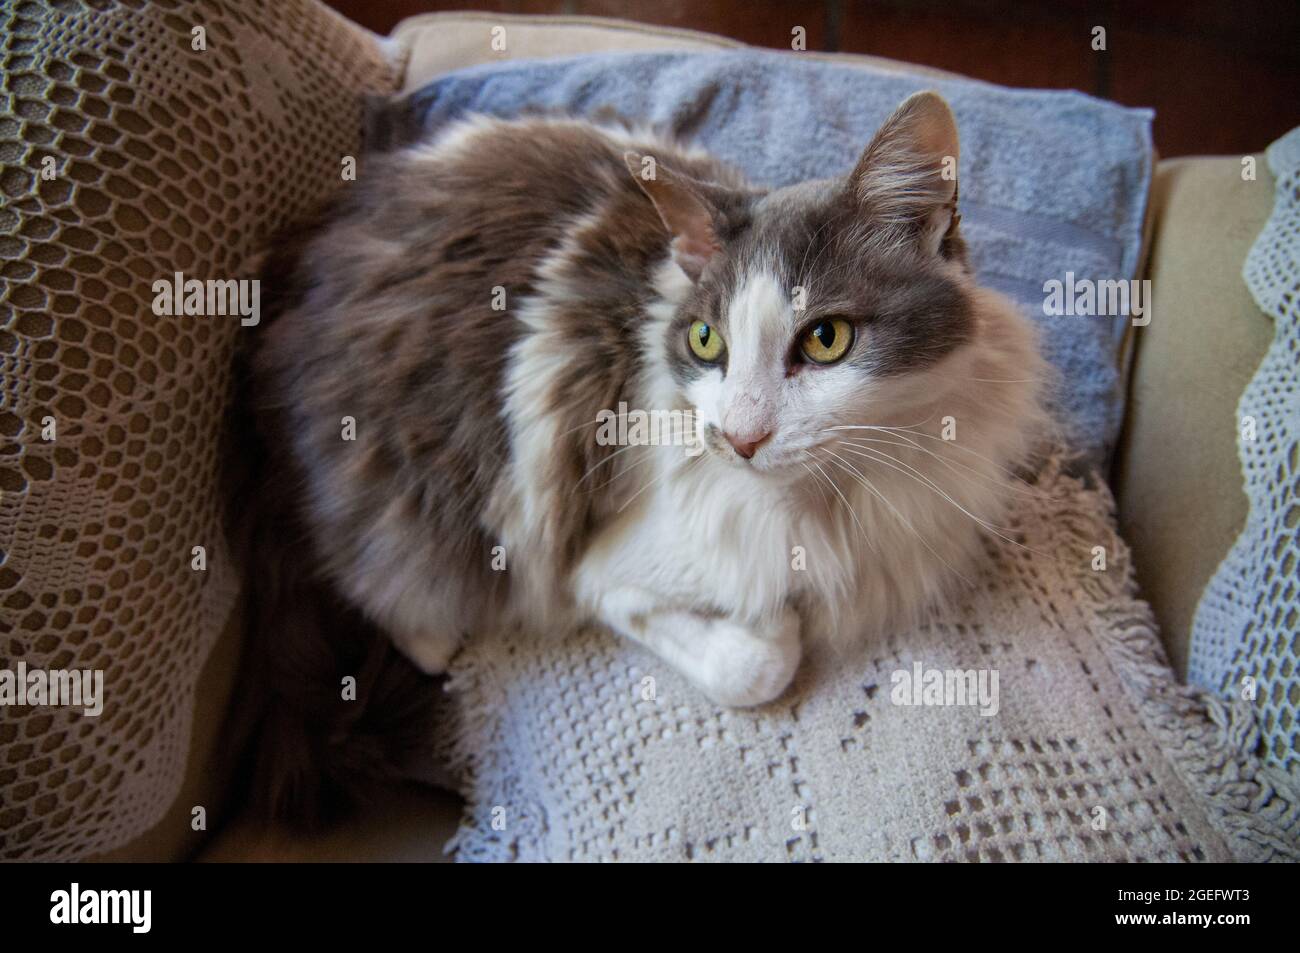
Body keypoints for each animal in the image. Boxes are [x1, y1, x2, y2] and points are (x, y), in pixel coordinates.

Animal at [250, 92, 1045, 722]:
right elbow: (753, 663)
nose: (739, 439)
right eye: (706, 340)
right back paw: (435, 635)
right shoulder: (592, 565)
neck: (838, 493)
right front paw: (774, 627)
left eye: (826, 339)